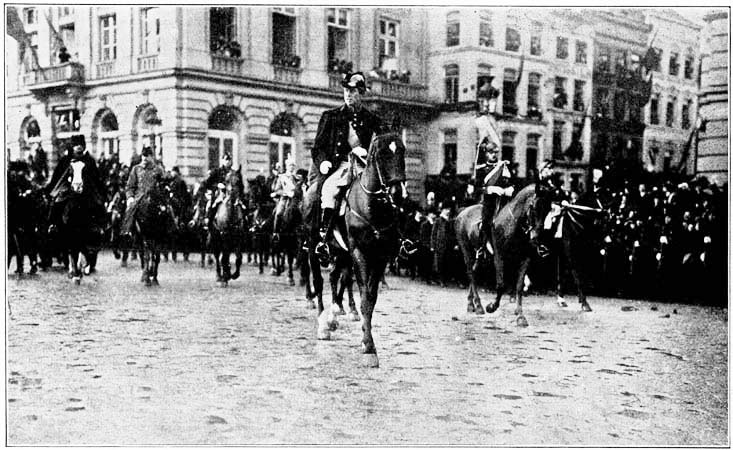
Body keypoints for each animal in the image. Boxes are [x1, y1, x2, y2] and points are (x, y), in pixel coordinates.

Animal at [304, 132, 406, 368]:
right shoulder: (359, 253)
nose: (397, 192)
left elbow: (370, 298)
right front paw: (368, 346)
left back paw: (333, 315)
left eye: (402, 150)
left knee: (335, 278)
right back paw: (323, 324)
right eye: (381, 153)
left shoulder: (379, 257)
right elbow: (365, 297)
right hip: (313, 248)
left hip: (340, 253)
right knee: (319, 281)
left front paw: (367, 341)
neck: (371, 206)